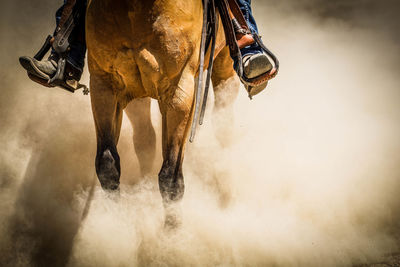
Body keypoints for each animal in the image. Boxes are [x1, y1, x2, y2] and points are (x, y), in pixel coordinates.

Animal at [86, 0, 239, 217]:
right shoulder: (103, 84)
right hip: (136, 94)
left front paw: (173, 227)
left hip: (224, 65)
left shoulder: (180, 89)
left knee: (224, 122)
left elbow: (171, 178)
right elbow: (108, 164)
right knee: (144, 138)